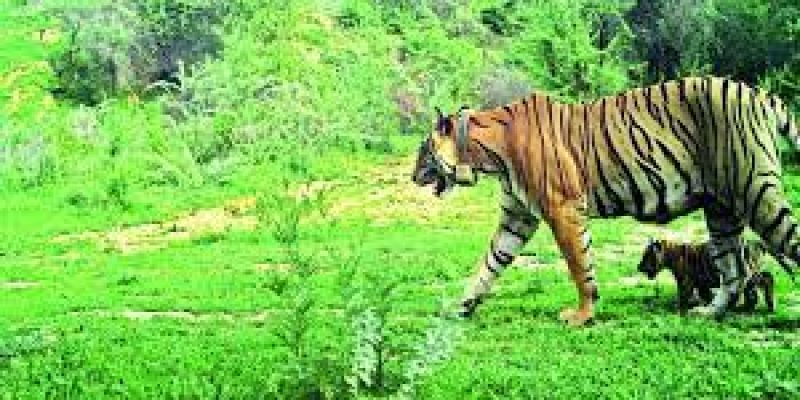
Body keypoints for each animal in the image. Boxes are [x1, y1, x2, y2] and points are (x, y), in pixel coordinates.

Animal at [637, 238, 775, 313]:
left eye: (647, 256)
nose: (638, 267)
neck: (670, 255)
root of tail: (757, 242)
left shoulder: (685, 282)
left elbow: (682, 296)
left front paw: (679, 310)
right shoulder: (701, 284)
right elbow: (706, 295)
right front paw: (710, 306)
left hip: (750, 273)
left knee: (767, 279)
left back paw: (769, 305)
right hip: (751, 276)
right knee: (758, 285)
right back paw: (750, 307)